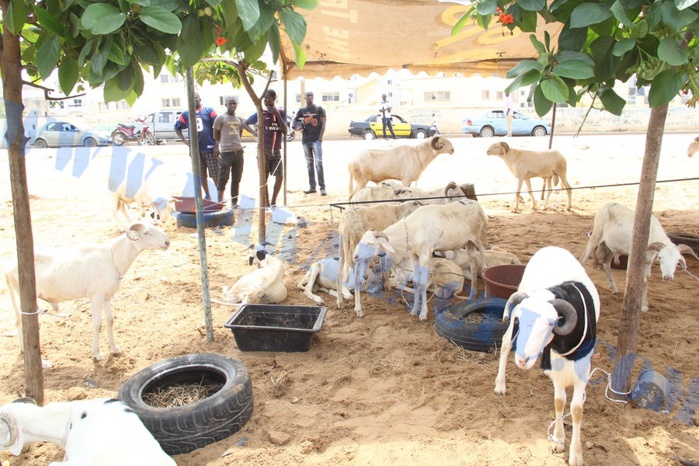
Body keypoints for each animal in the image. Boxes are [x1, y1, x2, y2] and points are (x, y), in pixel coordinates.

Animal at [4, 221, 171, 360]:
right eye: (147, 232)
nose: (167, 242)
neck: (113, 257)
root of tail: (9, 266)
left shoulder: (107, 296)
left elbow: (110, 321)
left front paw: (115, 348)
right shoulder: (95, 296)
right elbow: (98, 324)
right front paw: (97, 354)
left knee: (18, 321)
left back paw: (23, 351)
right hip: (25, 296)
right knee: (23, 323)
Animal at [356, 200, 486, 320]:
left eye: (370, 243)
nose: (356, 256)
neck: (411, 230)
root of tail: (475, 203)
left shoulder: (425, 256)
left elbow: (423, 284)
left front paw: (423, 314)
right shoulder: (414, 255)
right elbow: (416, 282)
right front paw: (414, 310)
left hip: (479, 239)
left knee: (484, 266)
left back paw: (485, 296)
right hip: (469, 243)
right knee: (473, 264)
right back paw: (472, 295)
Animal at [492, 246, 600, 464]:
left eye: (551, 323)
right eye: (519, 318)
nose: (522, 360)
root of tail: (550, 248)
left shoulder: (584, 367)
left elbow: (577, 409)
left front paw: (576, 454)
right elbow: (560, 401)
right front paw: (558, 440)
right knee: (506, 342)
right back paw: (500, 385)